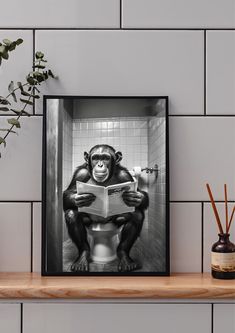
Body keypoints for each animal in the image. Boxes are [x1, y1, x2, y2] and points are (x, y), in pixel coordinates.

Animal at [63, 144, 149, 272]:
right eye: (95, 158)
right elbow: (67, 194)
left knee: (137, 215)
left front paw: (135, 197)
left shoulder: (125, 175)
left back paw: (125, 257)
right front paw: (80, 198)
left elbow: (139, 193)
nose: (100, 165)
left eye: (105, 158)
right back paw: (82, 257)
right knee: (72, 214)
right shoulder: (80, 173)